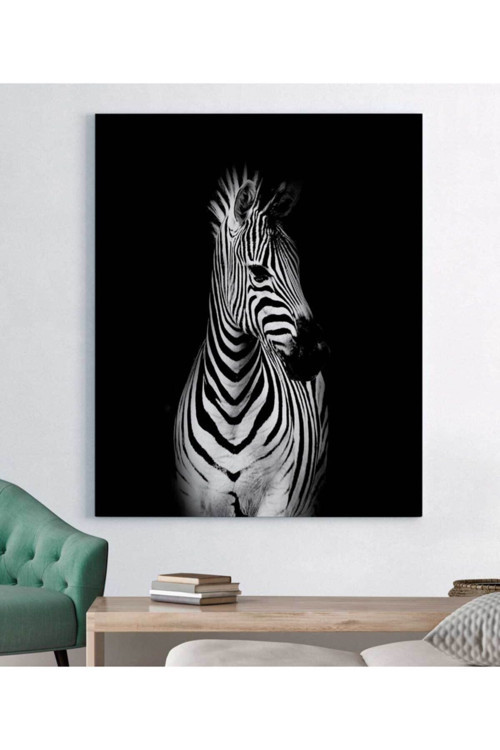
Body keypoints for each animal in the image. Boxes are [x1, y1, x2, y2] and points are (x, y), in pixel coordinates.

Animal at [174, 169, 329, 517]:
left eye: (298, 268)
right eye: (258, 273)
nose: (314, 354)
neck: (233, 401)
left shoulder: (277, 498)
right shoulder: (193, 499)